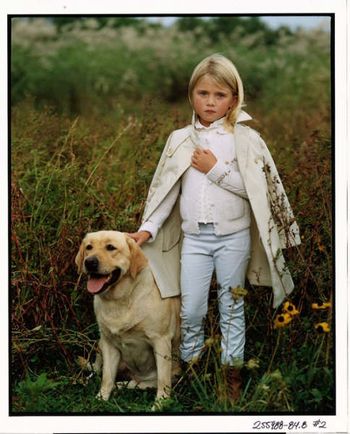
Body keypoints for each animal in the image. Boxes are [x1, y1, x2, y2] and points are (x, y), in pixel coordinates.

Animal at [76, 231, 180, 410]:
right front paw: (100, 399)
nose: (89, 262)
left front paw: (160, 403)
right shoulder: (109, 343)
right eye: (89, 247)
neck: (120, 299)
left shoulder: (161, 341)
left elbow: (163, 380)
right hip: (100, 343)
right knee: (99, 371)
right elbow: (107, 377)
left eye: (111, 247)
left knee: (139, 383)